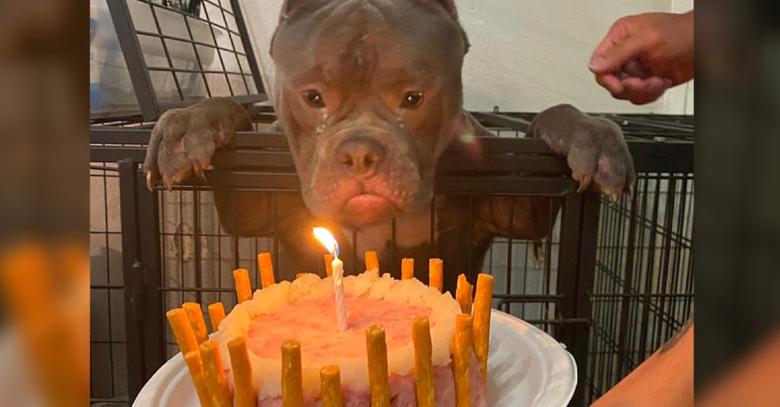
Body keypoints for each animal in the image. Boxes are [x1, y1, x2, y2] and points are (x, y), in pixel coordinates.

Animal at [145, 0, 632, 294]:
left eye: (414, 98)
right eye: (313, 97)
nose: (360, 152)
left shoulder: (516, 203)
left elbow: (548, 120)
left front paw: (590, 134)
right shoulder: (253, 202)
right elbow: (236, 112)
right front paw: (190, 124)